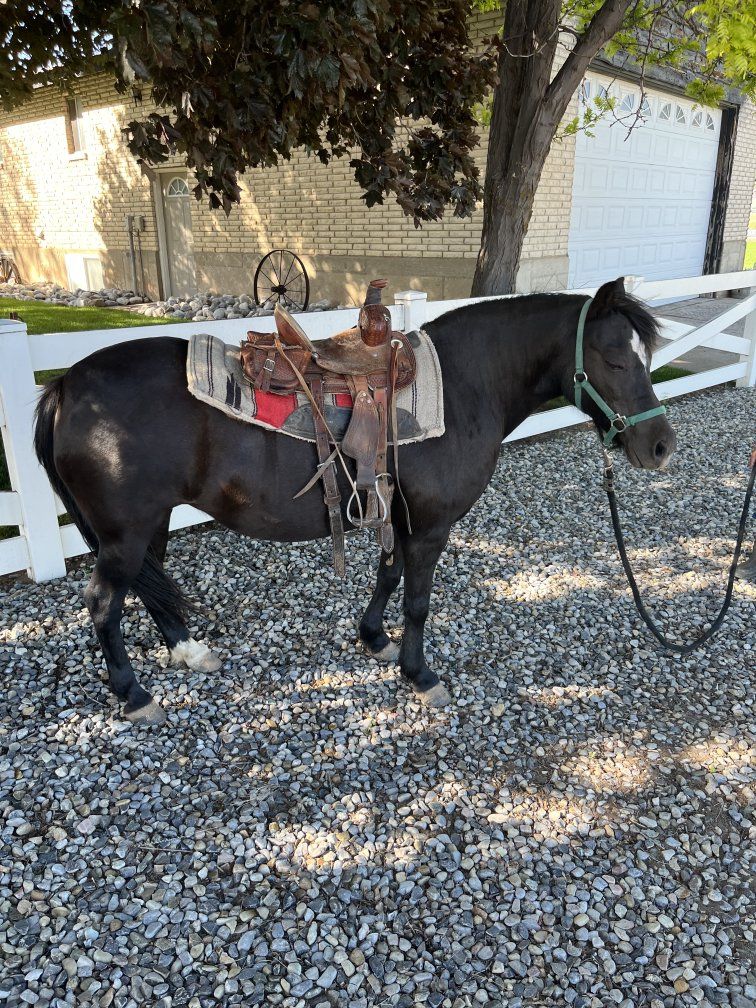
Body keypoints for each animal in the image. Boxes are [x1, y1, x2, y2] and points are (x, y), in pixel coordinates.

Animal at [34, 277, 676, 725]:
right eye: (615, 358)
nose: (661, 446)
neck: (465, 386)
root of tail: (65, 386)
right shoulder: (431, 527)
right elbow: (417, 601)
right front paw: (421, 675)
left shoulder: (400, 514)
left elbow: (388, 578)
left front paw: (375, 639)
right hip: (124, 533)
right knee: (103, 604)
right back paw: (133, 693)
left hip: (151, 522)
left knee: (148, 586)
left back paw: (189, 652)